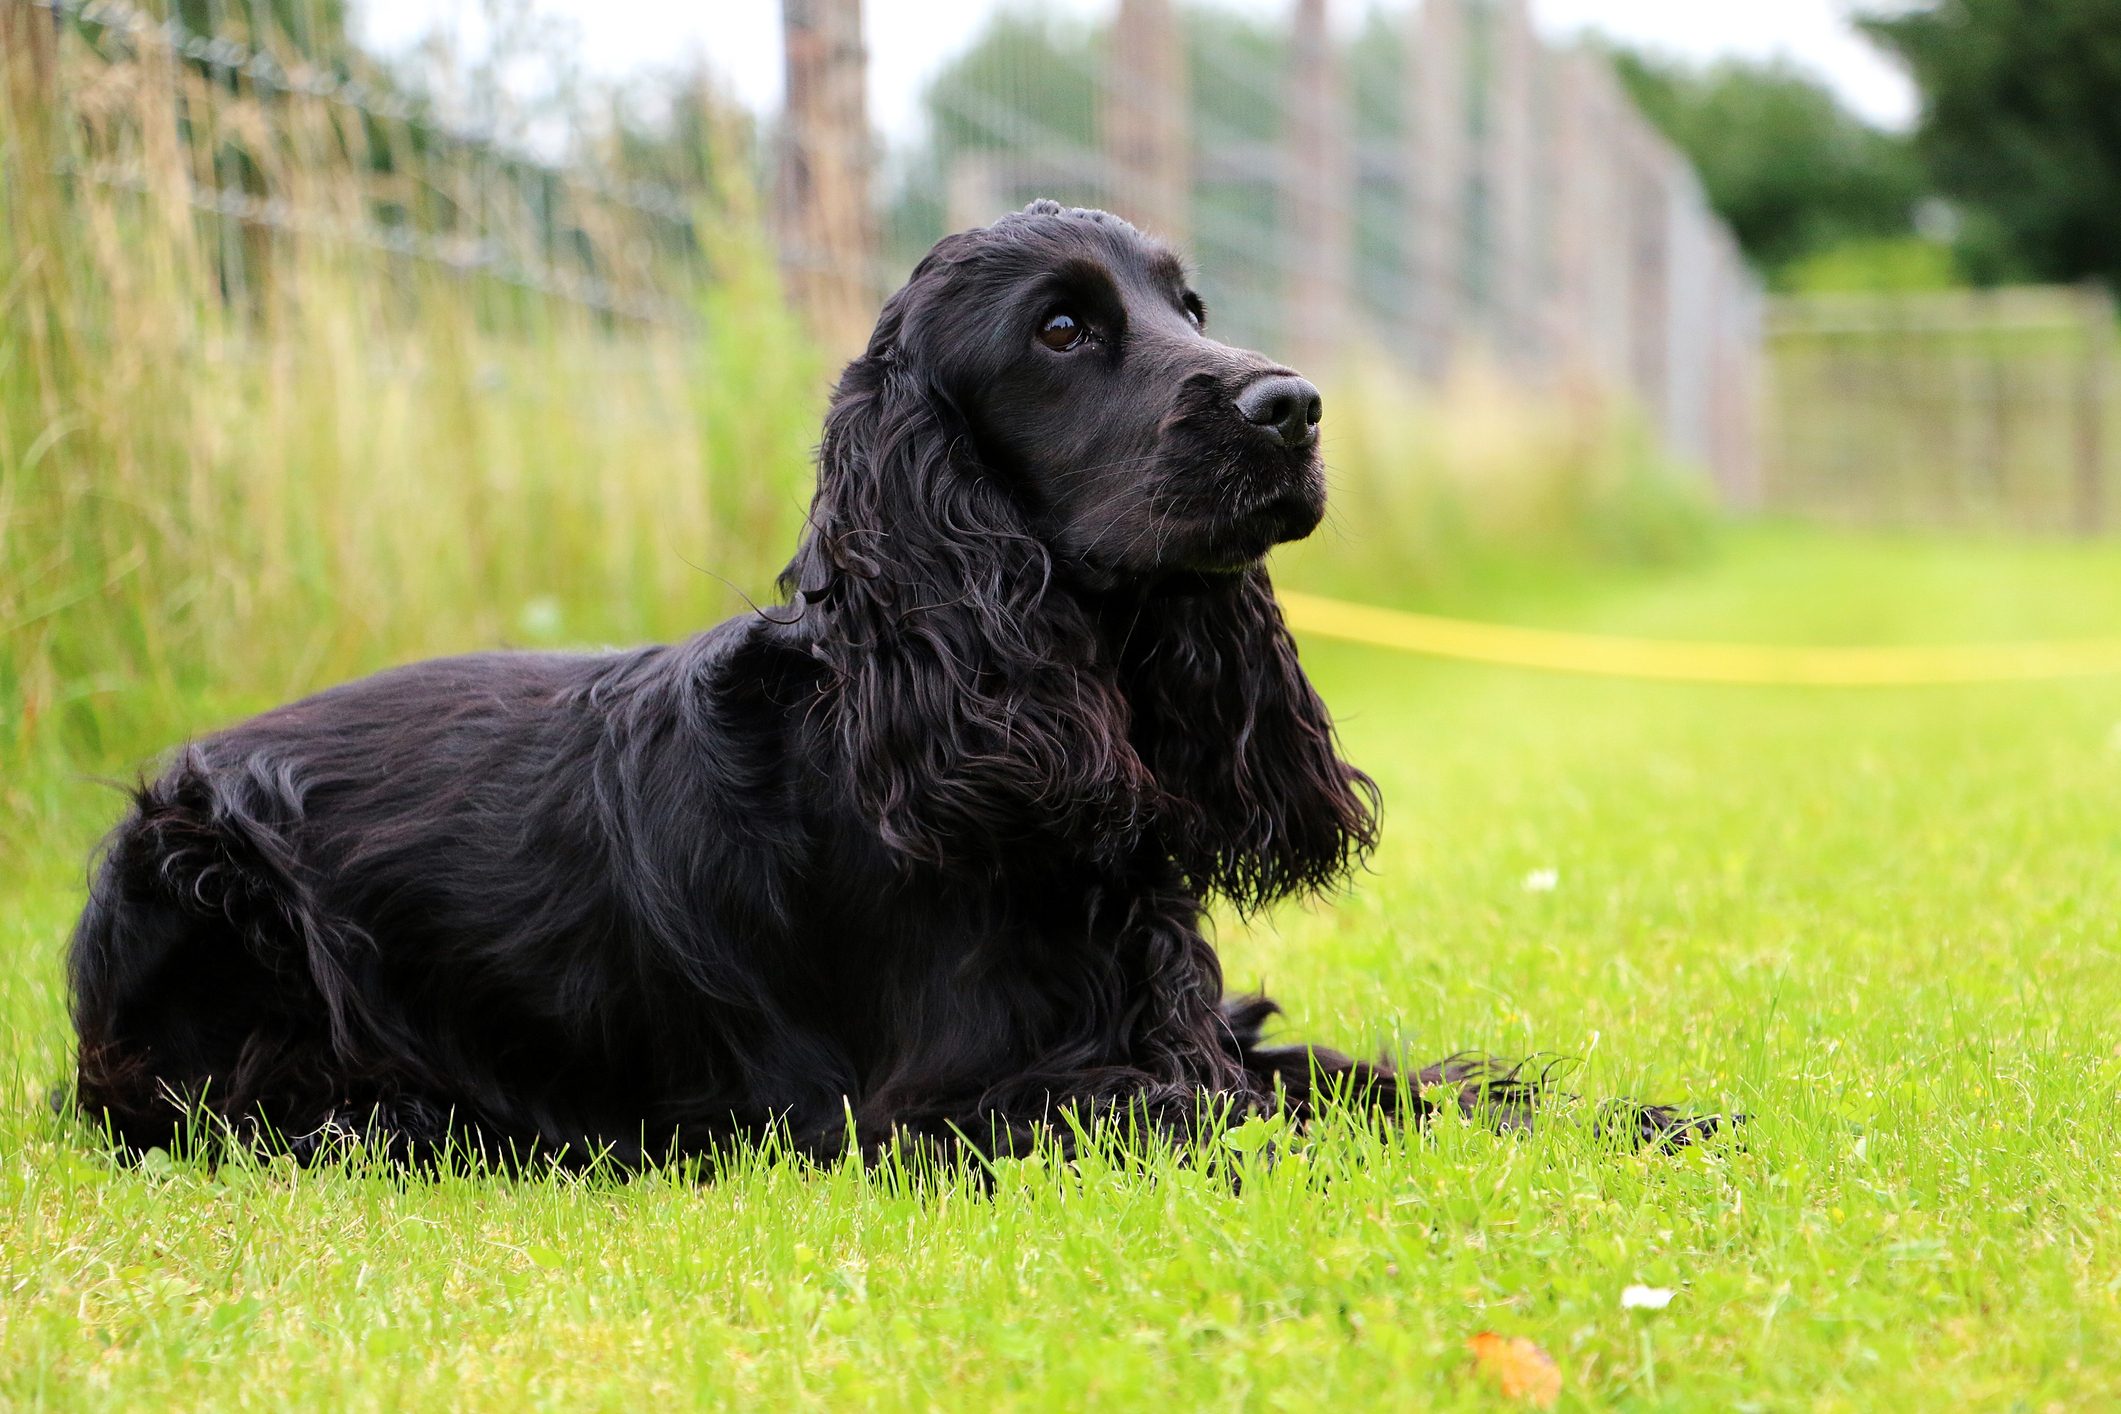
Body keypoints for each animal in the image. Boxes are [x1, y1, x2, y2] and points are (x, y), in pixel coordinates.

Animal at [66, 201, 1705, 1170]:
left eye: (1186, 304)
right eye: (1062, 327)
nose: (1293, 406)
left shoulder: (1172, 1025)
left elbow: (1379, 1082)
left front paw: (1647, 1111)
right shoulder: (930, 1110)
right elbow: (1250, 1118)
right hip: (205, 884)